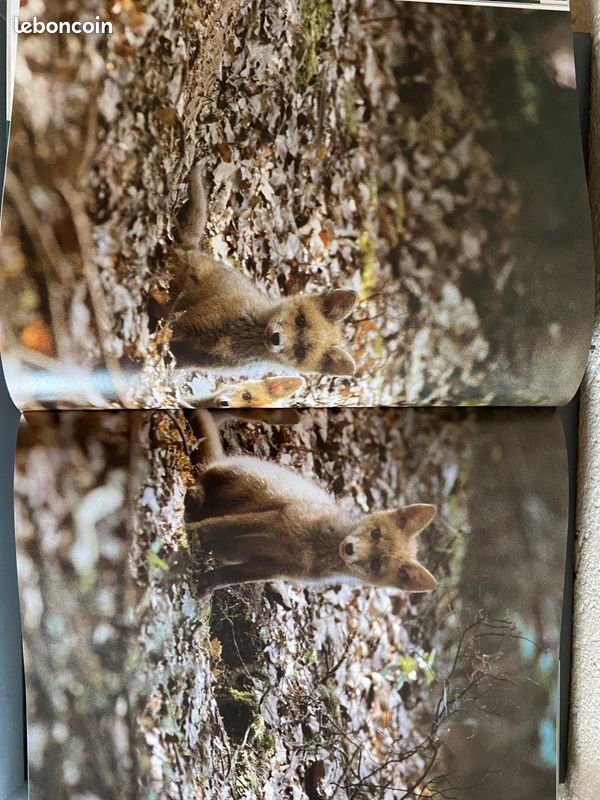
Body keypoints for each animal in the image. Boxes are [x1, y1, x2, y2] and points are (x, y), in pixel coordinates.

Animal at [164, 165, 359, 375]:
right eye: (300, 319)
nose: (276, 338)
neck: (239, 335)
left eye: (300, 352)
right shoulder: (197, 322)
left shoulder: (197, 358)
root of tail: (191, 249)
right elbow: (166, 332)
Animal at [181, 410, 438, 597]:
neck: (315, 545)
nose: (349, 549)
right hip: (245, 482)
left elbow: (226, 577)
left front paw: (205, 584)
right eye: (376, 533)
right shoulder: (276, 520)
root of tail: (227, 459)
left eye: (376, 565)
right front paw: (192, 534)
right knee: (204, 478)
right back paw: (195, 497)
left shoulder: (273, 568)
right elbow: (220, 526)